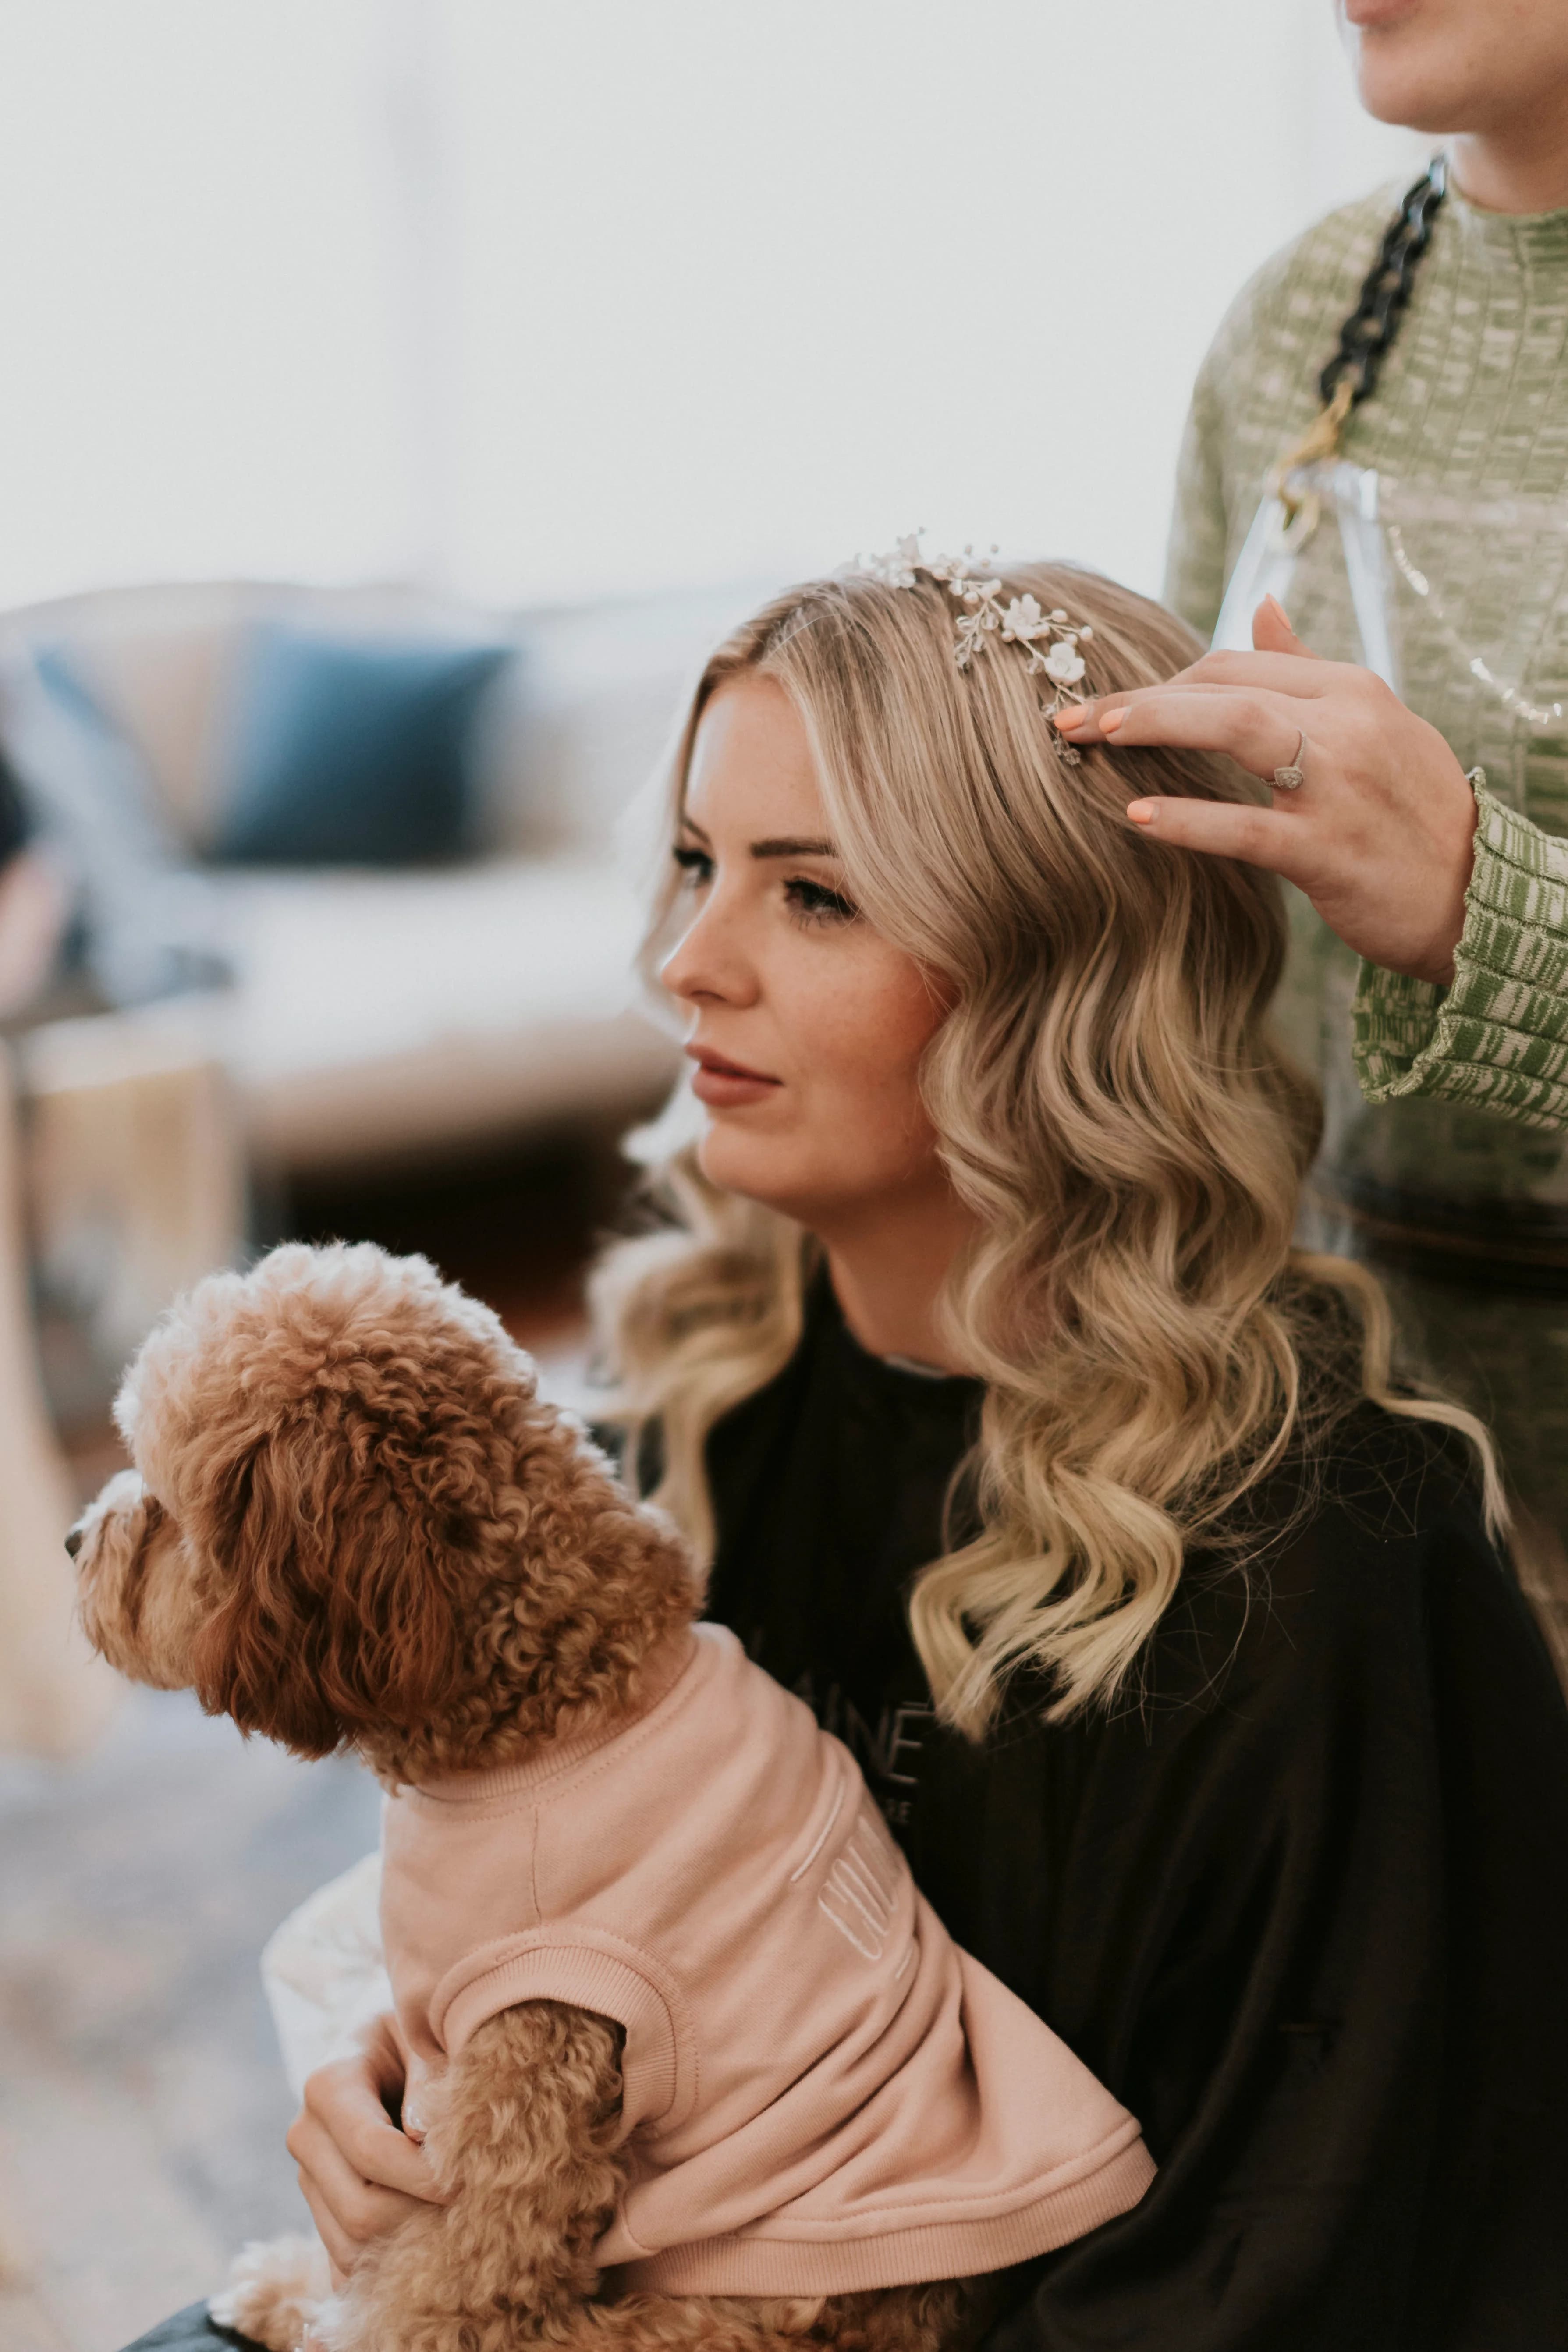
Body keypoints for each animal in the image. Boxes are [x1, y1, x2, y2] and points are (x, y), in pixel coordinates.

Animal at [73, 1260, 1147, 2352]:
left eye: (160, 1501)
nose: (73, 1537)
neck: (553, 1696)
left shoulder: (524, 2066)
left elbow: (430, 2303)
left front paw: (311, 2297)